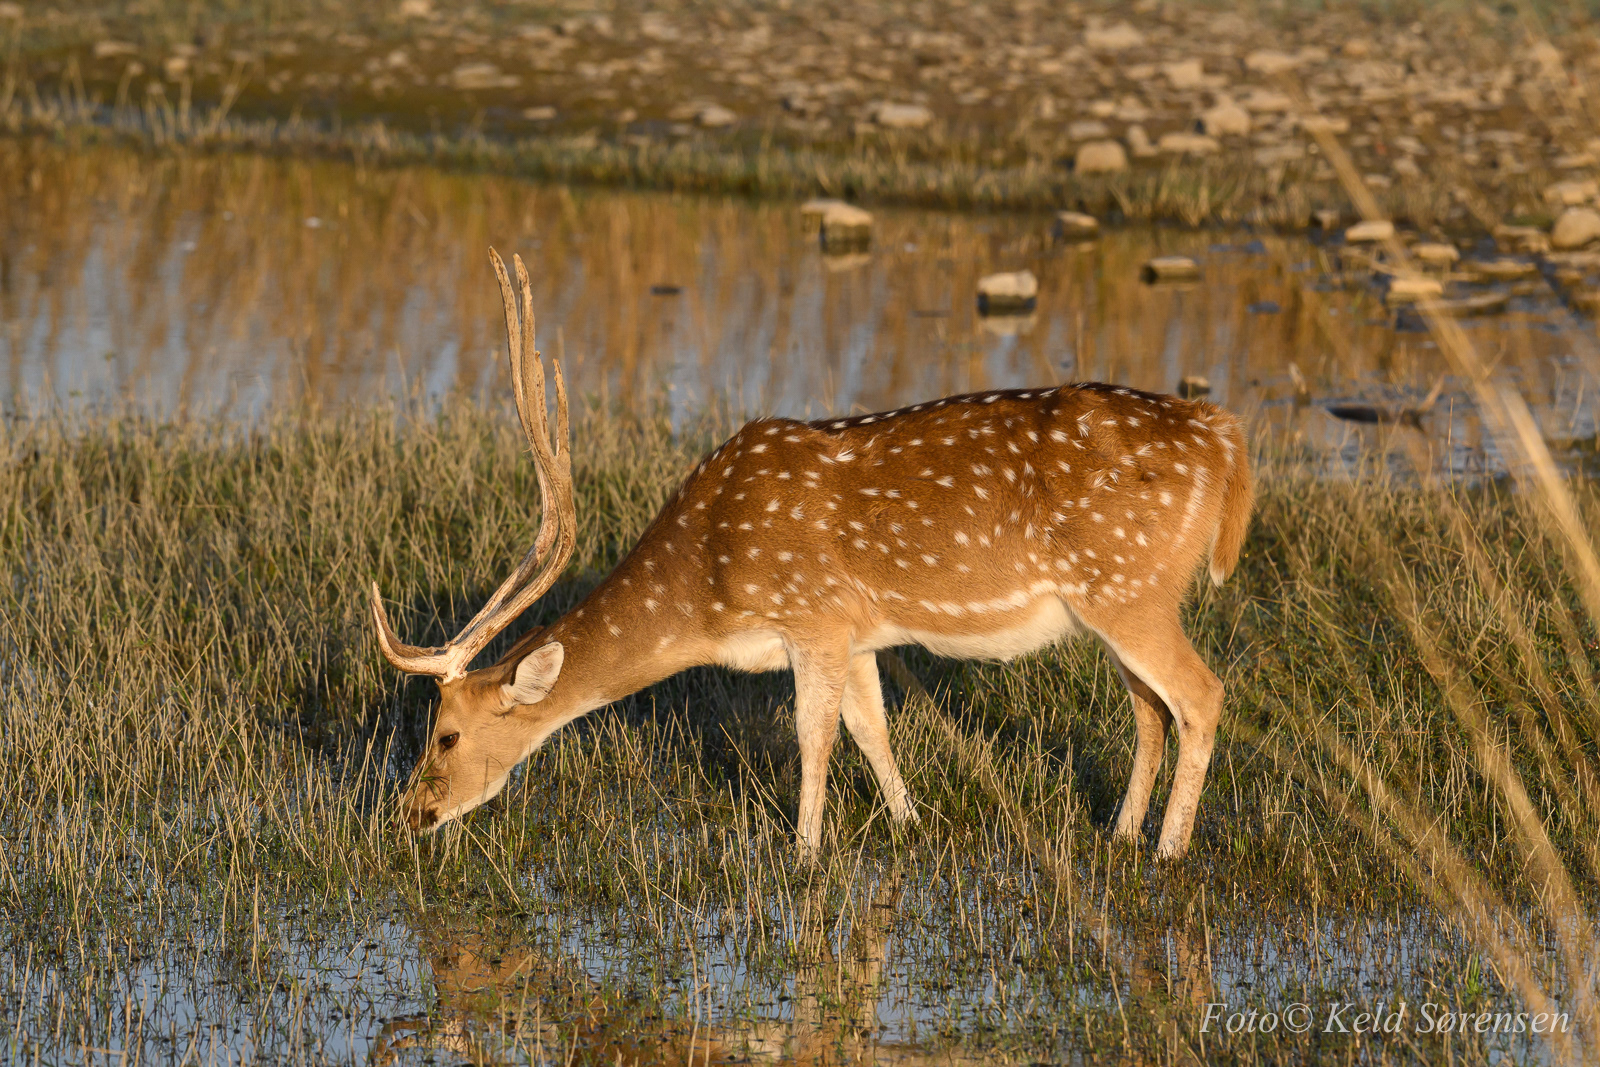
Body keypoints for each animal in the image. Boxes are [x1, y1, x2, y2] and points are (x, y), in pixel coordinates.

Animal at [372, 249, 1255, 860]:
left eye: (445, 733)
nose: (411, 813)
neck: (709, 583)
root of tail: (1225, 440)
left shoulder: (813, 614)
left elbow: (814, 733)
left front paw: (804, 853)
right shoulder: (857, 632)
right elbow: (872, 727)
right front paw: (908, 821)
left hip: (1130, 587)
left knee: (1200, 692)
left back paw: (1169, 851)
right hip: (1116, 599)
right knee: (1149, 707)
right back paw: (1121, 833)